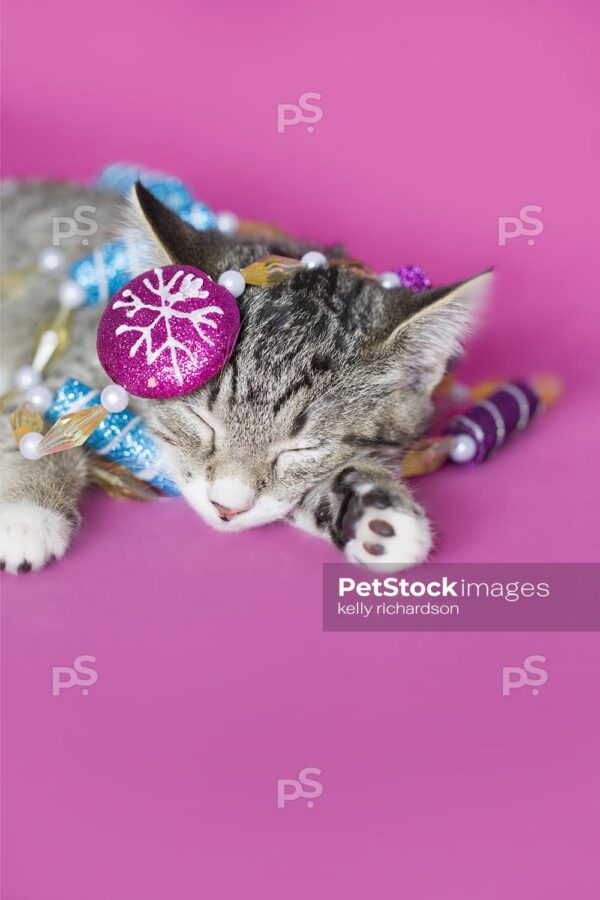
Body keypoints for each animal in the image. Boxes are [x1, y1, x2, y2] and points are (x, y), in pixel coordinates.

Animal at [0, 179, 492, 572]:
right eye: (200, 421)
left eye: (304, 448)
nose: (226, 508)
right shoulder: (59, 358)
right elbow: (29, 422)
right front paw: (28, 510)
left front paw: (371, 508)